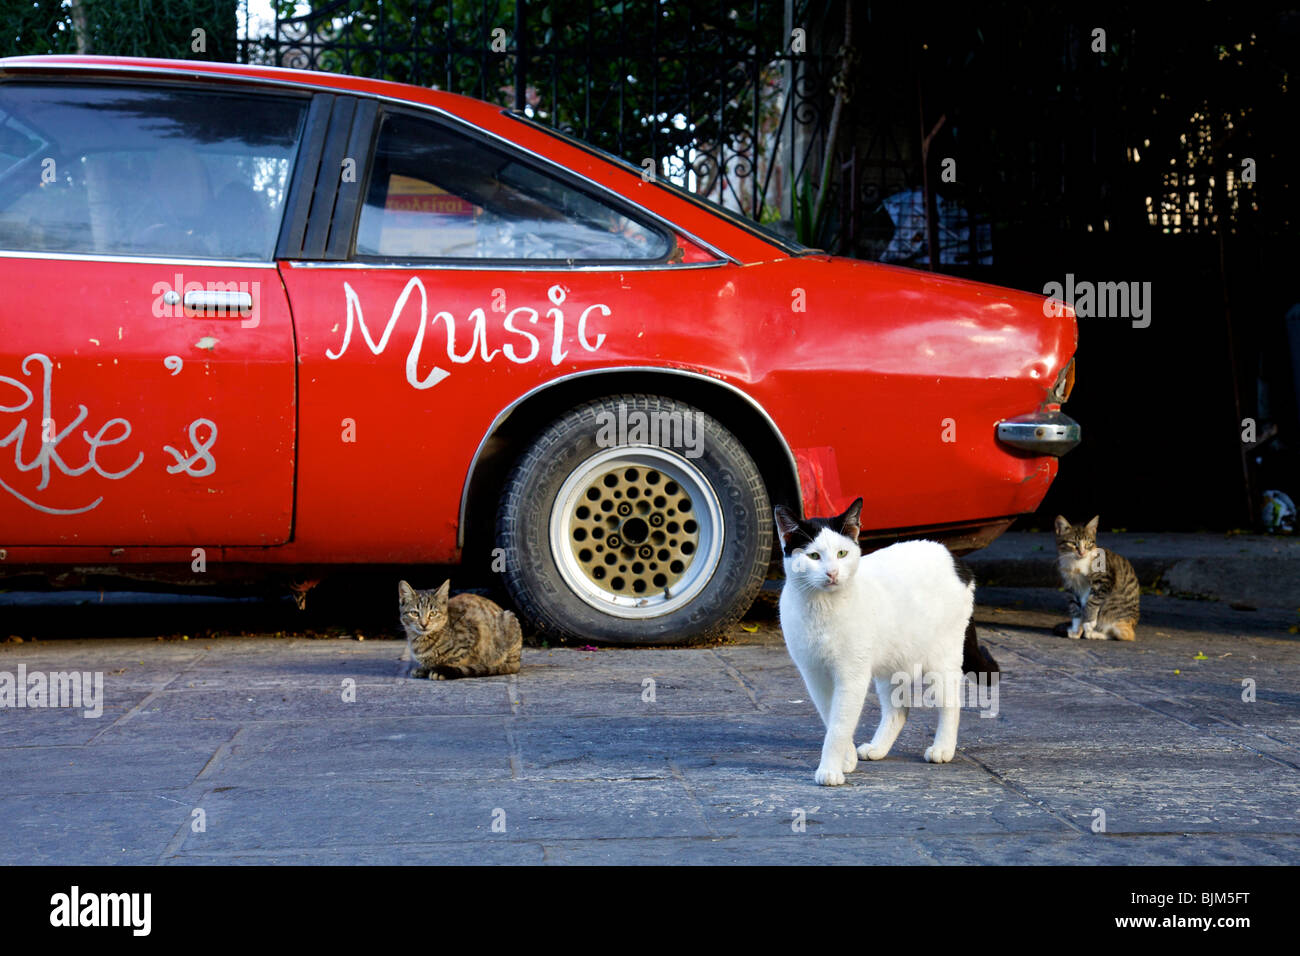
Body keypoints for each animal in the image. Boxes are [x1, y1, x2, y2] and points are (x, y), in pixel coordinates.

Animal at [769, 496, 982, 790]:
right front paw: (846, 760)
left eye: (842, 554)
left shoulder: (852, 677)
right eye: (813, 556)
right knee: (899, 710)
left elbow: (839, 726)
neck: (822, 608)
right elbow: (830, 717)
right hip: (892, 664)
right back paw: (878, 748)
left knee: (951, 702)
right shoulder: (814, 676)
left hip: (942, 659)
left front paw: (830, 770)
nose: (832, 573)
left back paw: (943, 749)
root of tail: (956, 559)